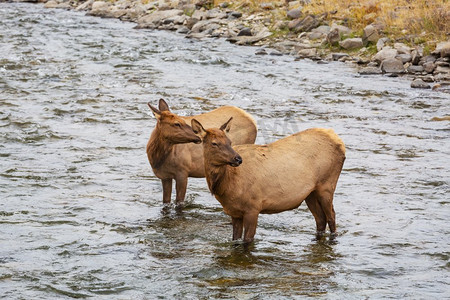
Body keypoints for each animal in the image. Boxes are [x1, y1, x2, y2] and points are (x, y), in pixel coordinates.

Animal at [190, 118, 344, 244]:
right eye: (214, 143)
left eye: (230, 142)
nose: (238, 159)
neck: (226, 186)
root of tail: (339, 141)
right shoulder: (234, 212)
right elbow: (235, 239)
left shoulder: (253, 207)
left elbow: (247, 241)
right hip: (310, 193)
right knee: (320, 219)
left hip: (327, 184)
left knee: (331, 217)